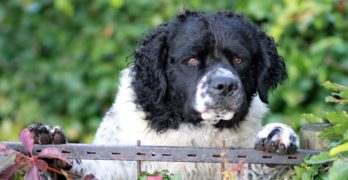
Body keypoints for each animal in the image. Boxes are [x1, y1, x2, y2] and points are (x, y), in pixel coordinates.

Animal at [28, 10, 298, 179]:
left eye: (239, 59)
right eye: (191, 60)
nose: (225, 85)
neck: (195, 130)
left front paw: (277, 134)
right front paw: (51, 147)